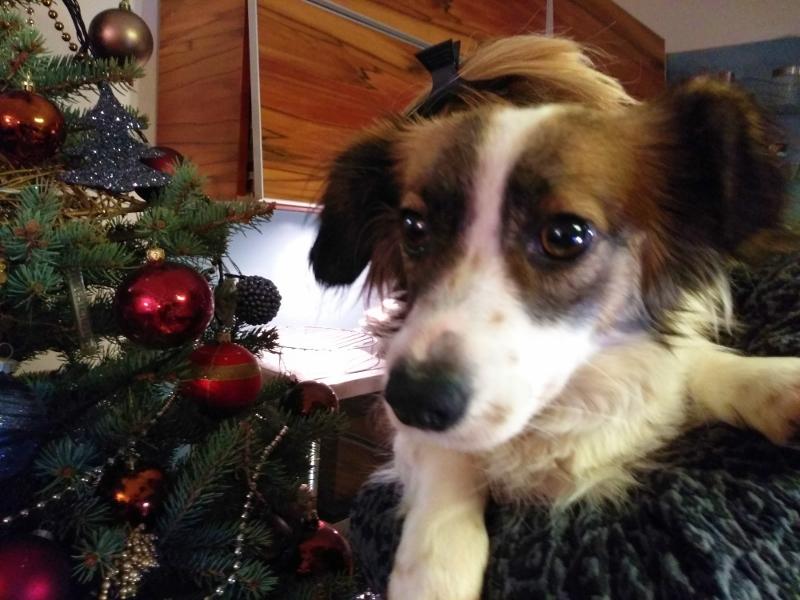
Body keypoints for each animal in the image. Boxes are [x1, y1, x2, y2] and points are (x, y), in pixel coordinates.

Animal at [309, 35, 800, 600]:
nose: (414, 399)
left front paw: (775, 382)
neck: (564, 401)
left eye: (565, 235)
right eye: (413, 227)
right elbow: (445, 459)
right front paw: (434, 567)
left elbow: (694, 366)